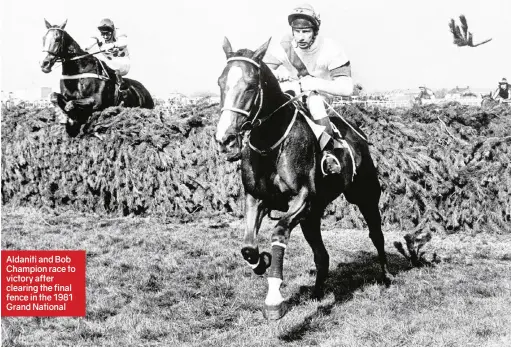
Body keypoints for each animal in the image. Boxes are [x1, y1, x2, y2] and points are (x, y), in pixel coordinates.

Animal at [215, 37, 392, 318]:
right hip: (313, 216)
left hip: (365, 196)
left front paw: (274, 299)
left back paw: (386, 276)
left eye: (251, 86)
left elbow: (278, 232)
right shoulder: (256, 198)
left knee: (377, 235)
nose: (225, 140)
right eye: (220, 82)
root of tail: (357, 135)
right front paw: (260, 262)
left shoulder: (302, 199)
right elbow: (248, 247)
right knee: (322, 256)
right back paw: (318, 292)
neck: (271, 144)